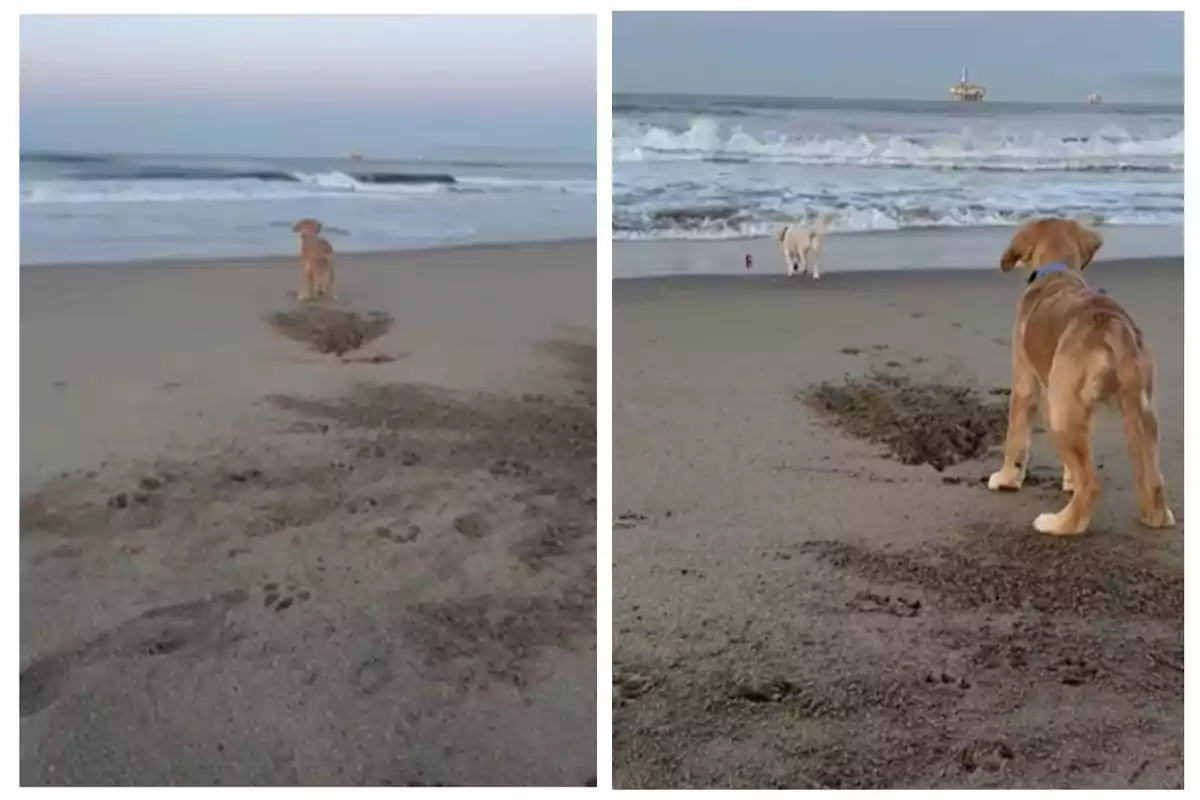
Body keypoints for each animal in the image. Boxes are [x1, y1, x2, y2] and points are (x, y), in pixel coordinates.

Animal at [988, 215, 1176, 534]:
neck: (1057, 272)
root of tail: (1113, 327)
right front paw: (1068, 481)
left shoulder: (1025, 382)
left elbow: (1016, 438)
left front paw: (1005, 479)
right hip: (1141, 412)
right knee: (1152, 481)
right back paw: (1155, 516)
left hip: (1059, 412)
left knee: (1092, 486)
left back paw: (1060, 524)